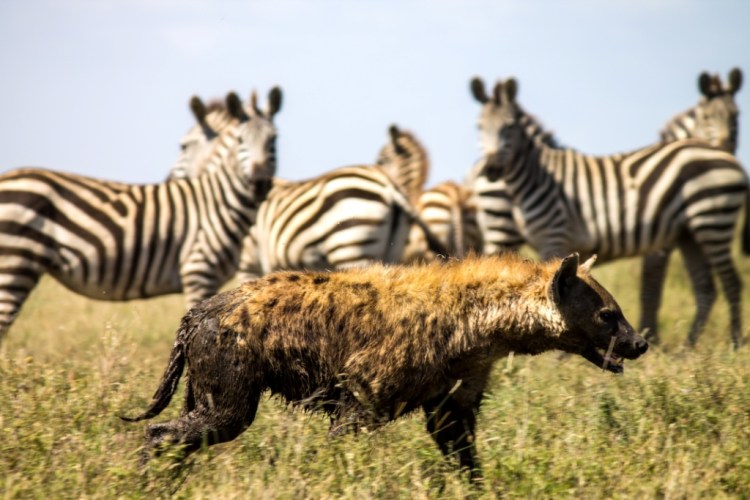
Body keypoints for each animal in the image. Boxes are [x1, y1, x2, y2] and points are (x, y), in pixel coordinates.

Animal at [0, 90, 278, 342]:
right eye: (241, 140)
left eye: (273, 140)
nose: (260, 182)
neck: (217, 200)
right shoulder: (198, 270)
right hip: (15, 260)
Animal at [469, 76, 750, 348]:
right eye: (480, 127)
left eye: (508, 126)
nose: (491, 169)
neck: (535, 176)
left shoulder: (558, 237)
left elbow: (648, 287)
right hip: (696, 231)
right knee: (709, 287)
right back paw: (692, 346)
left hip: (710, 220)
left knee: (729, 283)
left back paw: (731, 343)